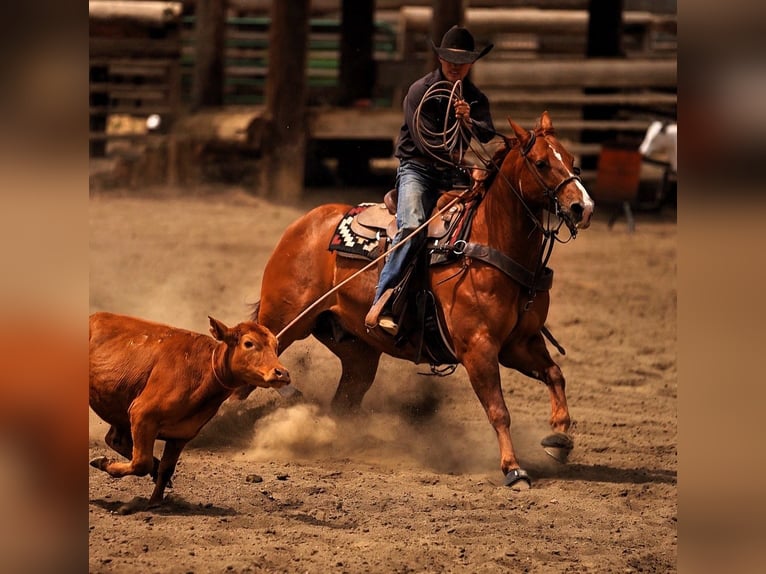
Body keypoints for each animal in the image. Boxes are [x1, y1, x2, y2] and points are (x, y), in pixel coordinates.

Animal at [251, 111, 595, 488]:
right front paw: (513, 468)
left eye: (573, 161)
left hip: (357, 352)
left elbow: (555, 374)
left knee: (345, 400)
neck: (488, 241)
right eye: (542, 163)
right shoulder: (477, 347)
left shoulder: (518, 344)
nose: (583, 207)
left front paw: (559, 439)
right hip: (283, 323)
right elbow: (498, 410)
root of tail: (301, 225)